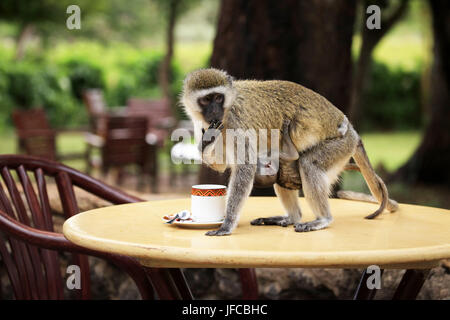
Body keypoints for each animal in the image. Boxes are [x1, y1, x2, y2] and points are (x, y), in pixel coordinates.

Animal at [181, 69, 396, 236]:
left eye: (218, 98)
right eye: (206, 100)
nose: (214, 112)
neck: (226, 113)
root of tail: (351, 131)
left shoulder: (236, 122)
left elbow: (245, 168)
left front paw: (226, 225)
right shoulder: (204, 124)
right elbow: (221, 164)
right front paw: (206, 141)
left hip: (340, 144)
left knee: (309, 164)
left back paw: (323, 219)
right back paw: (292, 217)